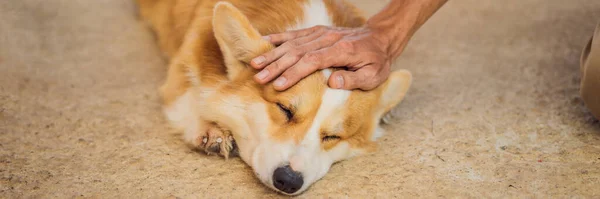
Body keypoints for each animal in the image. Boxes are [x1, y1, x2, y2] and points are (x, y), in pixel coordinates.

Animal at [135, 0, 410, 196]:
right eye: (285, 109)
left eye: (333, 136)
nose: (288, 181)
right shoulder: (183, 69)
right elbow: (191, 98)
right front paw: (211, 130)